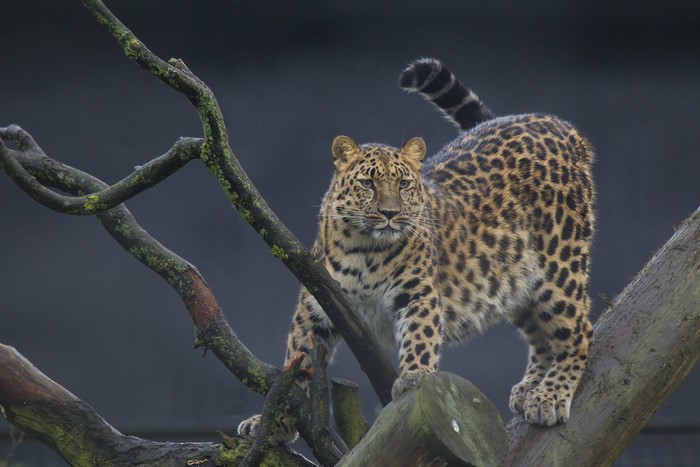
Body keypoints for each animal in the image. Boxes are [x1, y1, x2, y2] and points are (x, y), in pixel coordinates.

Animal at [238, 58, 595, 443]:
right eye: (368, 183)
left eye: (404, 183)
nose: (390, 213)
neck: (364, 247)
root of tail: (556, 124)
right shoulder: (316, 304)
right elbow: (297, 359)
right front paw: (272, 422)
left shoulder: (418, 292)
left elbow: (420, 336)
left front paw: (413, 377)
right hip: (515, 282)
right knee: (542, 336)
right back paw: (530, 388)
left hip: (558, 266)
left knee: (579, 331)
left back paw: (550, 396)